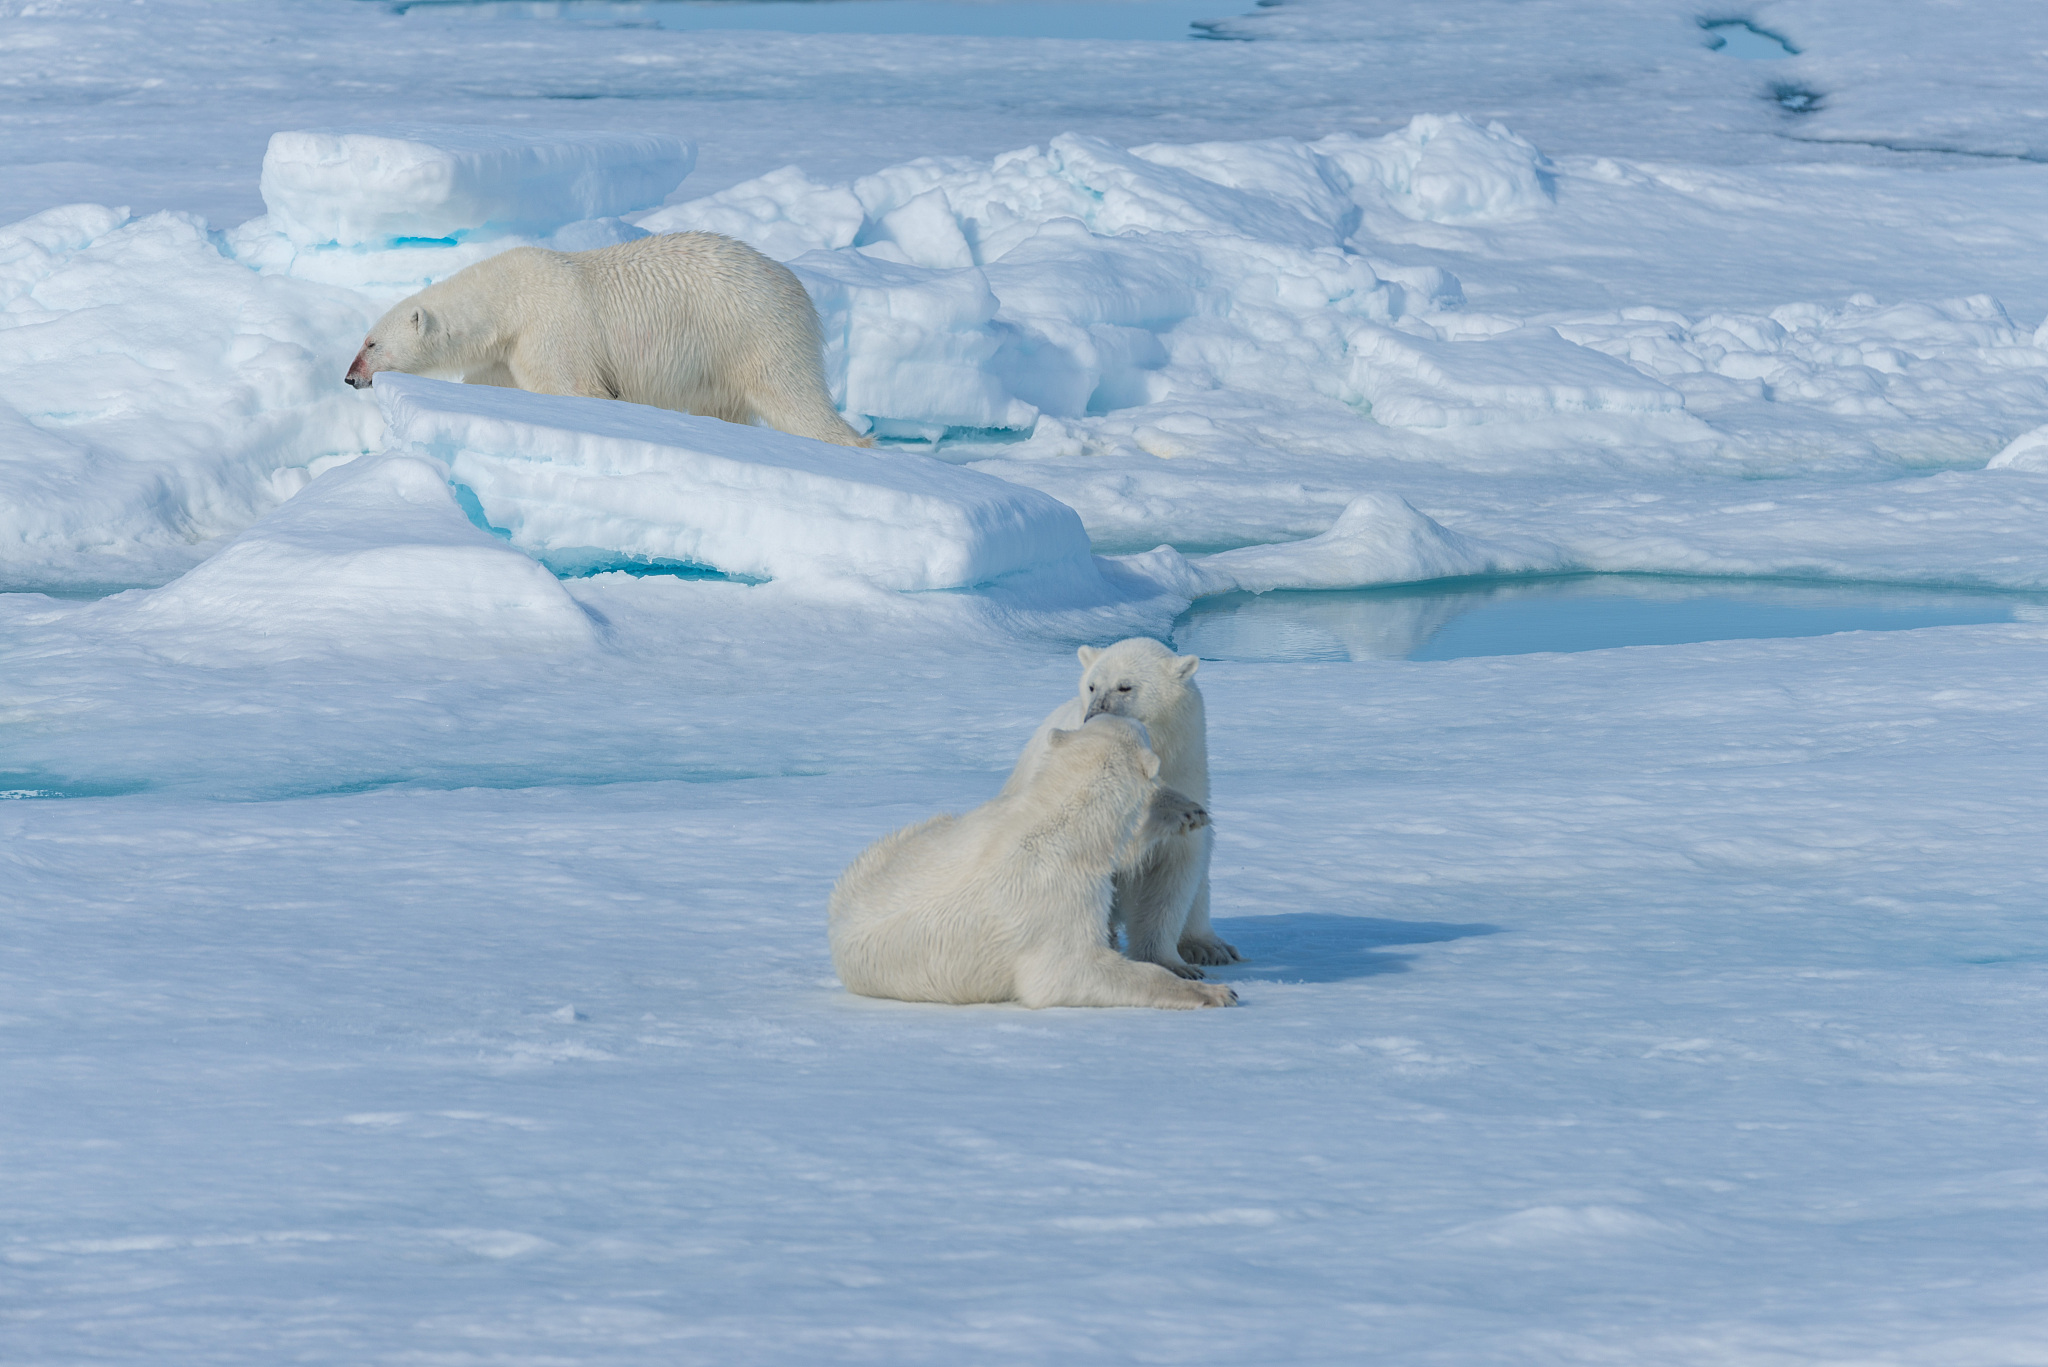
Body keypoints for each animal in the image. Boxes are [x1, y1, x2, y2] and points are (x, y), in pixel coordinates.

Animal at [344, 231, 872, 448]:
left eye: (371, 343)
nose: (350, 378)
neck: (510, 297)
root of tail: (796, 287)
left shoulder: (552, 329)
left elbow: (574, 388)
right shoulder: (507, 353)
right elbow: (490, 385)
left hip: (756, 331)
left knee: (794, 398)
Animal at [829, 715, 1237, 1010]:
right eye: (1142, 730)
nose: (1101, 709)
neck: (1055, 819)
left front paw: (1186, 810)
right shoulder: (1057, 897)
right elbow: (1071, 974)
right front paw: (1215, 992)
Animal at [1001, 637, 1240, 979]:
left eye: (1125, 686)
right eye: (1091, 685)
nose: (1092, 716)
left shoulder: (1186, 769)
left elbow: (1172, 874)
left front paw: (1173, 964)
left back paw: (1208, 946)